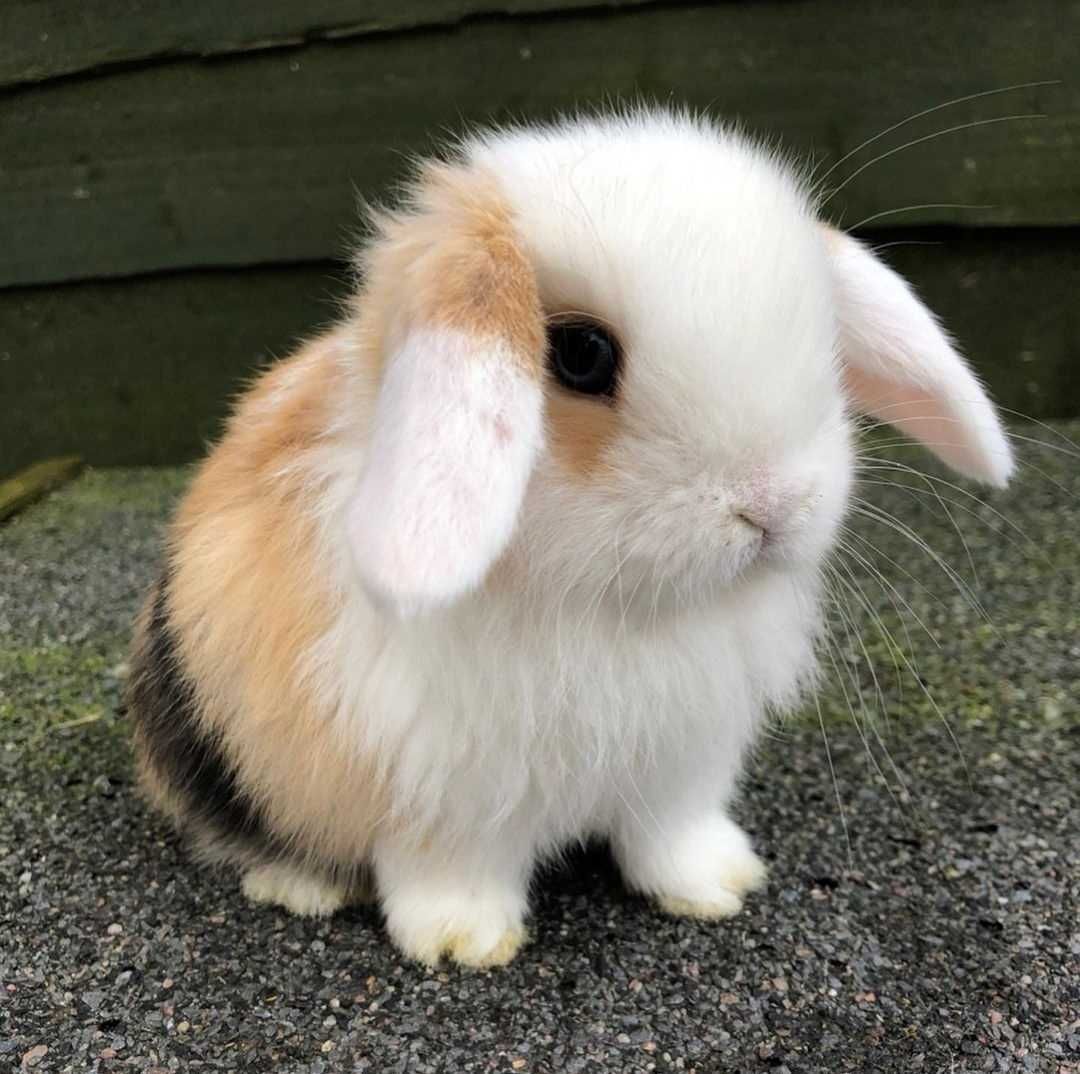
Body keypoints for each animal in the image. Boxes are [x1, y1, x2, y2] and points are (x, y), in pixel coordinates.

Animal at [126, 106, 1010, 963]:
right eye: (582, 354)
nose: (773, 505)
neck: (607, 604)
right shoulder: (438, 792)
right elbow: (450, 870)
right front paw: (462, 942)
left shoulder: (682, 766)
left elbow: (671, 838)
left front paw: (719, 885)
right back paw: (300, 887)